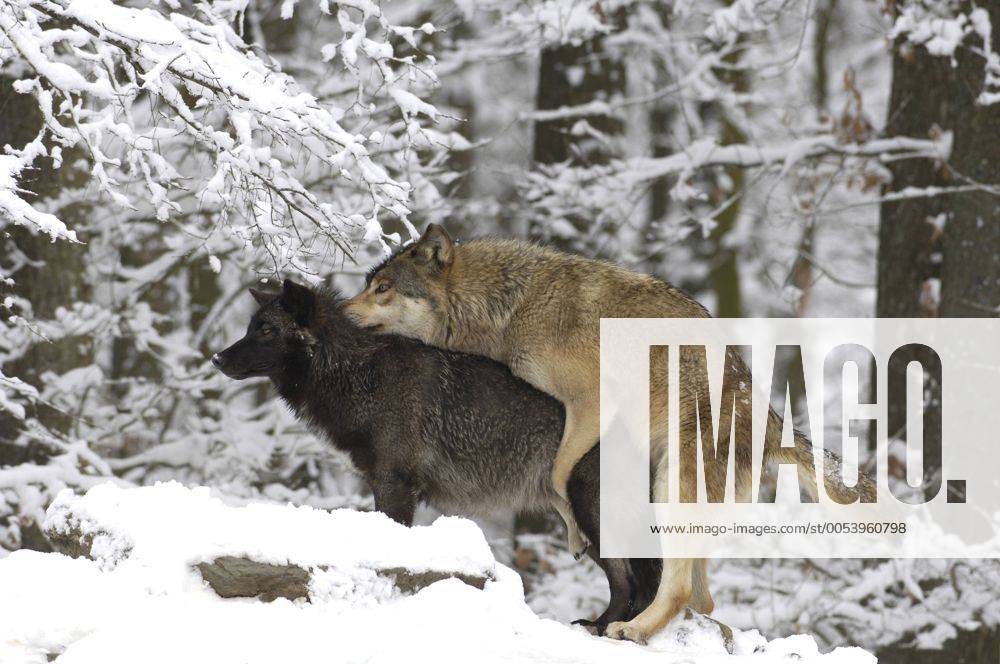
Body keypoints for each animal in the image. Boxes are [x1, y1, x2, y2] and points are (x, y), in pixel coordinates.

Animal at [212, 279, 664, 633]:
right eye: (250, 327)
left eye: (267, 330)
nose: (216, 358)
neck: (358, 375)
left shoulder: (394, 485)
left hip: (591, 513)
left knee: (629, 581)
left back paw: (605, 628)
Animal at [343, 224, 876, 643]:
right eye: (369, 285)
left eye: (383, 288)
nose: (341, 313)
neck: (512, 307)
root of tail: (770, 418)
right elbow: (557, 483)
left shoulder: (591, 402)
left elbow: (558, 476)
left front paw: (575, 531)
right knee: (703, 599)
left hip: (671, 486)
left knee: (681, 589)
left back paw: (633, 630)